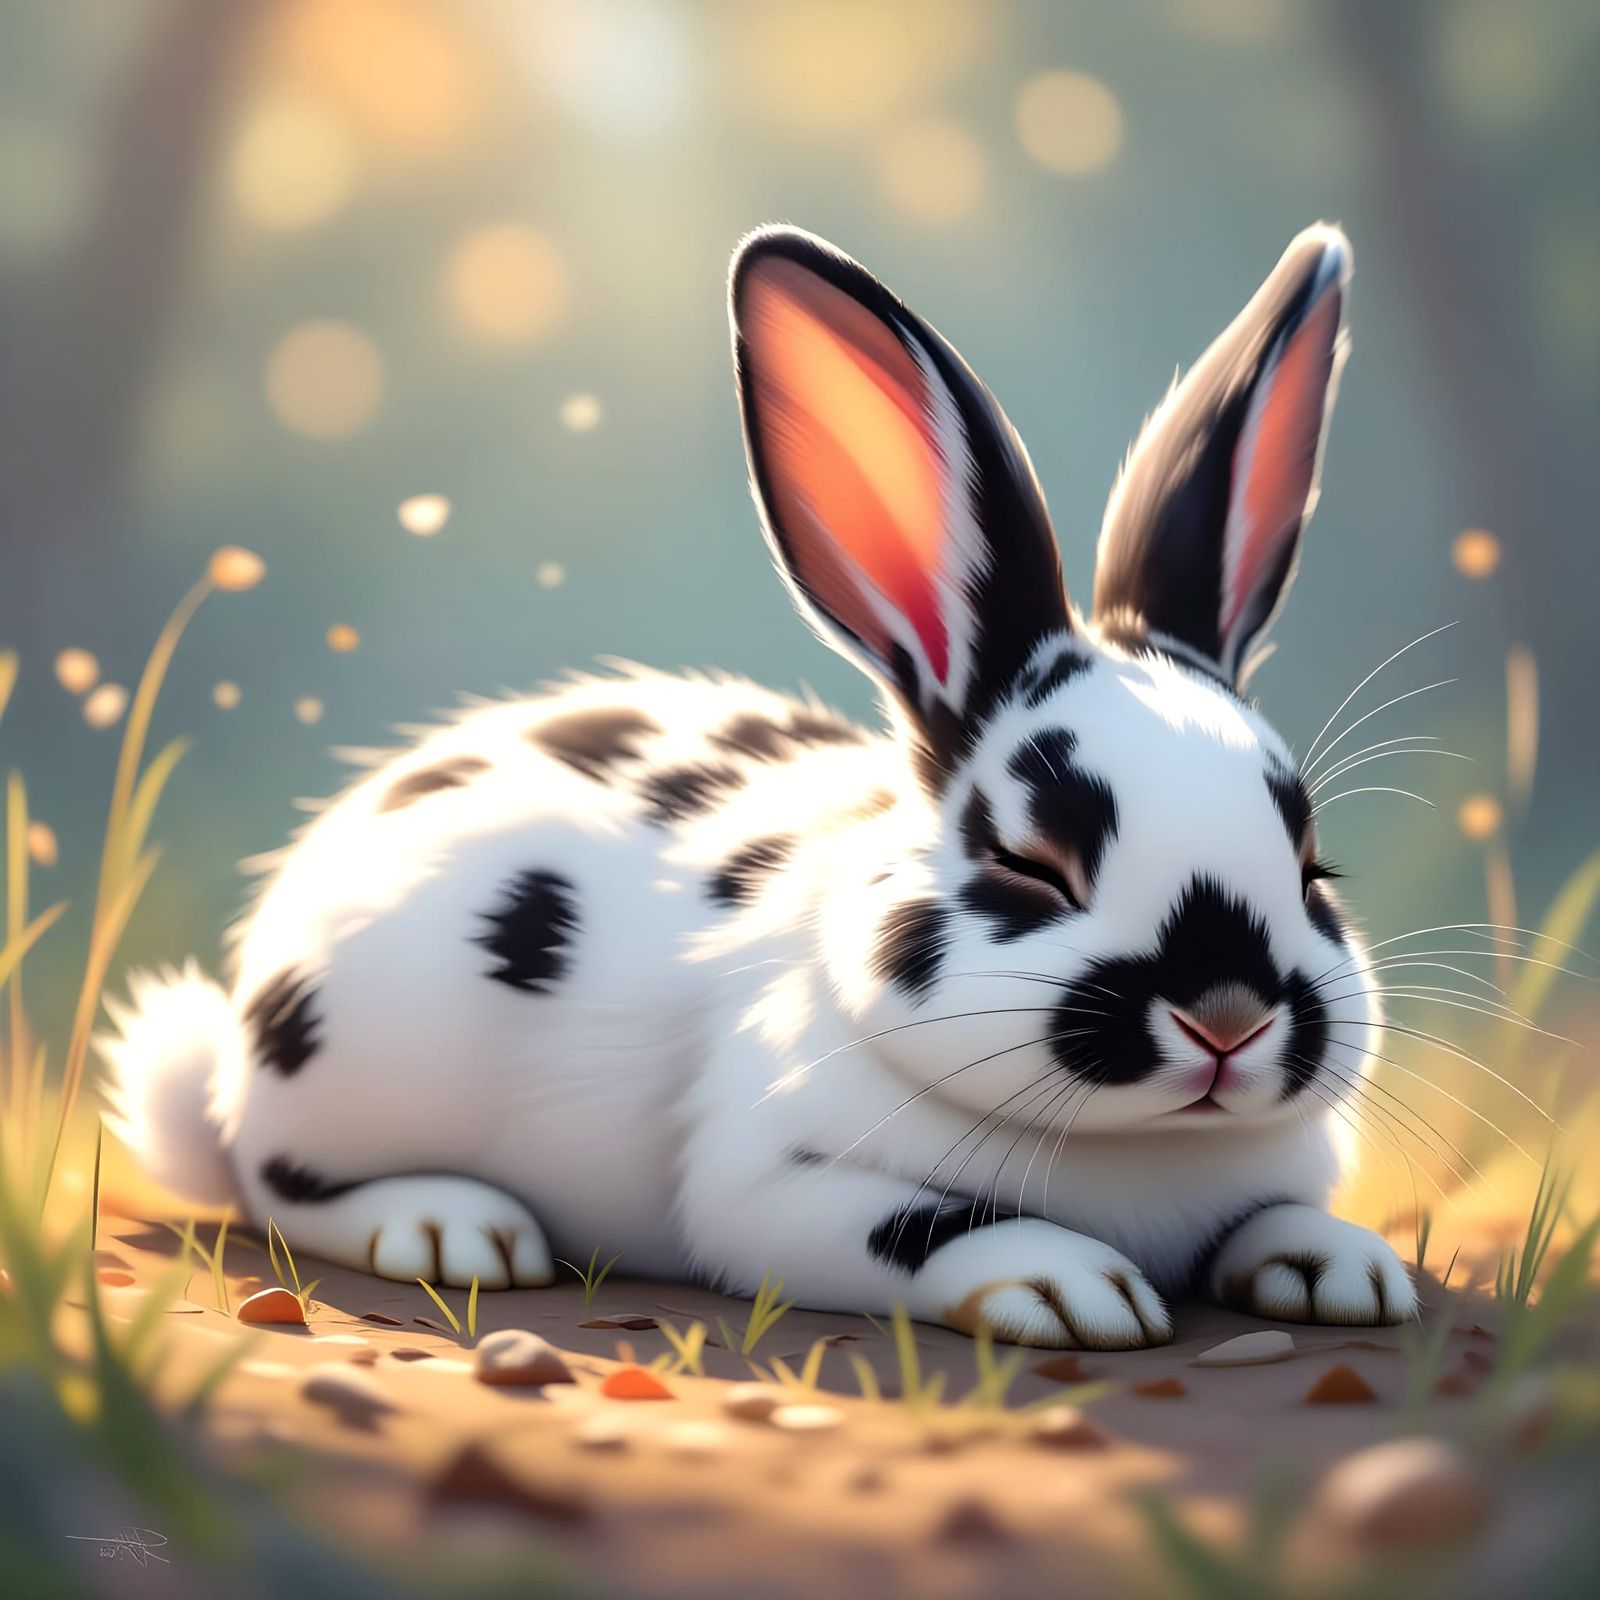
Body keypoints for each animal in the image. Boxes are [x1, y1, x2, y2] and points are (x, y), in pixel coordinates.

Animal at [101, 221, 1418, 1348]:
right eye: (1029, 862)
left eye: (1312, 865)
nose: (1227, 1016)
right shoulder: (775, 1188)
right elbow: (929, 1224)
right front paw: (1070, 1286)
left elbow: (1279, 1216)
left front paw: (1344, 1270)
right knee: (280, 1181)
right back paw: (448, 1225)